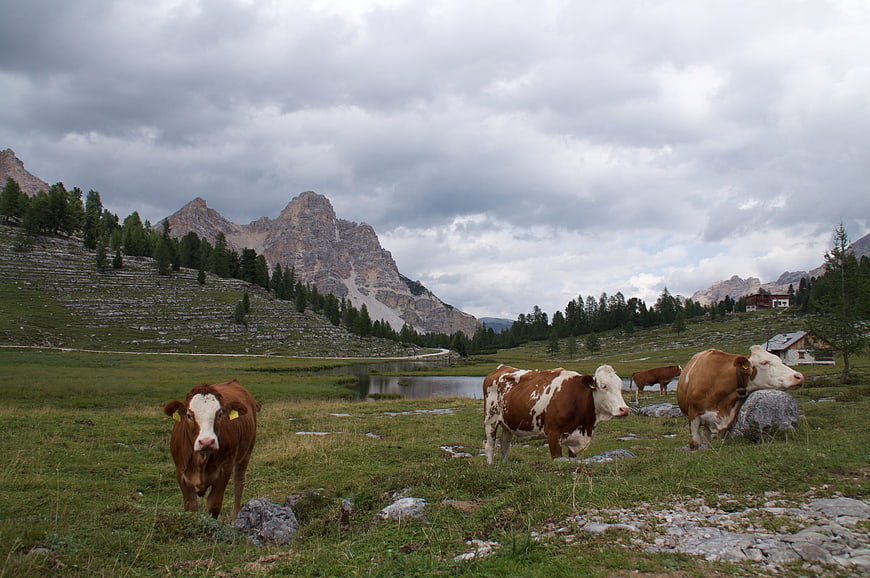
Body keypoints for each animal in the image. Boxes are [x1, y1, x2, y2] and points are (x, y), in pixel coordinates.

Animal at [163, 379, 261, 519]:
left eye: (220, 414)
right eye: (189, 415)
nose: (207, 442)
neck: (200, 461)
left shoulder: (224, 470)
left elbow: (213, 505)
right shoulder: (180, 472)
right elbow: (190, 506)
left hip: (246, 452)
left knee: (239, 482)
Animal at [483, 364, 630, 464]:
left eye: (620, 386)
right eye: (604, 386)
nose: (624, 409)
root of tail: (501, 368)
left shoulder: (574, 438)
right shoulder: (553, 433)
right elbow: (557, 458)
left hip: (507, 422)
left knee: (504, 443)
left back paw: (504, 464)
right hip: (491, 419)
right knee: (490, 445)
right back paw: (491, 465)